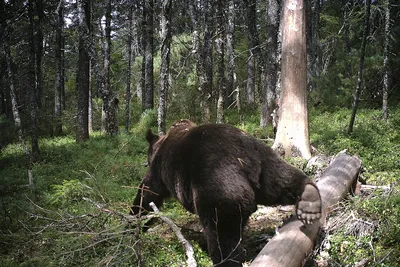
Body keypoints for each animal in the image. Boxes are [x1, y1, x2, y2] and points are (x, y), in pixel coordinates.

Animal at [131, 120, 322, 266]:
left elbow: (148, 192)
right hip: (264, 161)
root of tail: (244, 158)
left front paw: (134, 221)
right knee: (282, 178)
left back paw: (225, 260)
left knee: (221, 232)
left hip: (218, 185)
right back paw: (309, 201)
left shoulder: (160, 169)